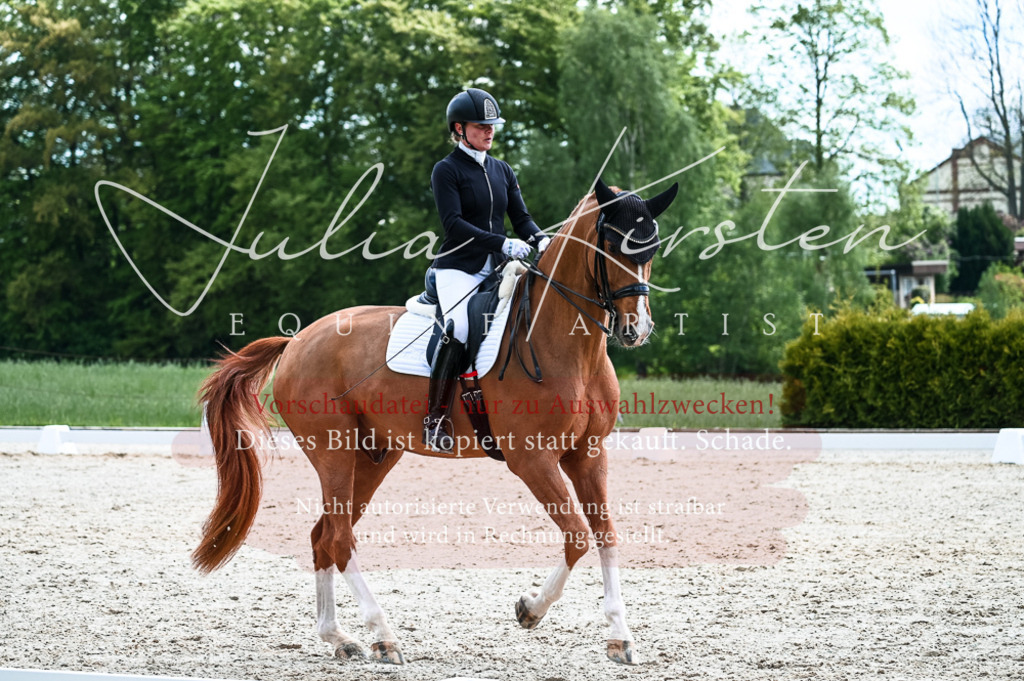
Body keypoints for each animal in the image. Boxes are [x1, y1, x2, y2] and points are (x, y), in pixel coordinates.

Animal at [191, 178, 679, 665]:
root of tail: (296, 341)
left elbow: (605, 534)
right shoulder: (532, 460)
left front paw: (619, 636)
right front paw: (530, 610)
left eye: (652, 248)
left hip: (374, 456)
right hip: (333, 451)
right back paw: (383, 636)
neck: (565, 346)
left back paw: (338, 637)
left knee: (324, 535)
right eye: (611, 246)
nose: (636, 329)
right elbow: (577, 536)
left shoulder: (587, 455)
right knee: (339, 539)